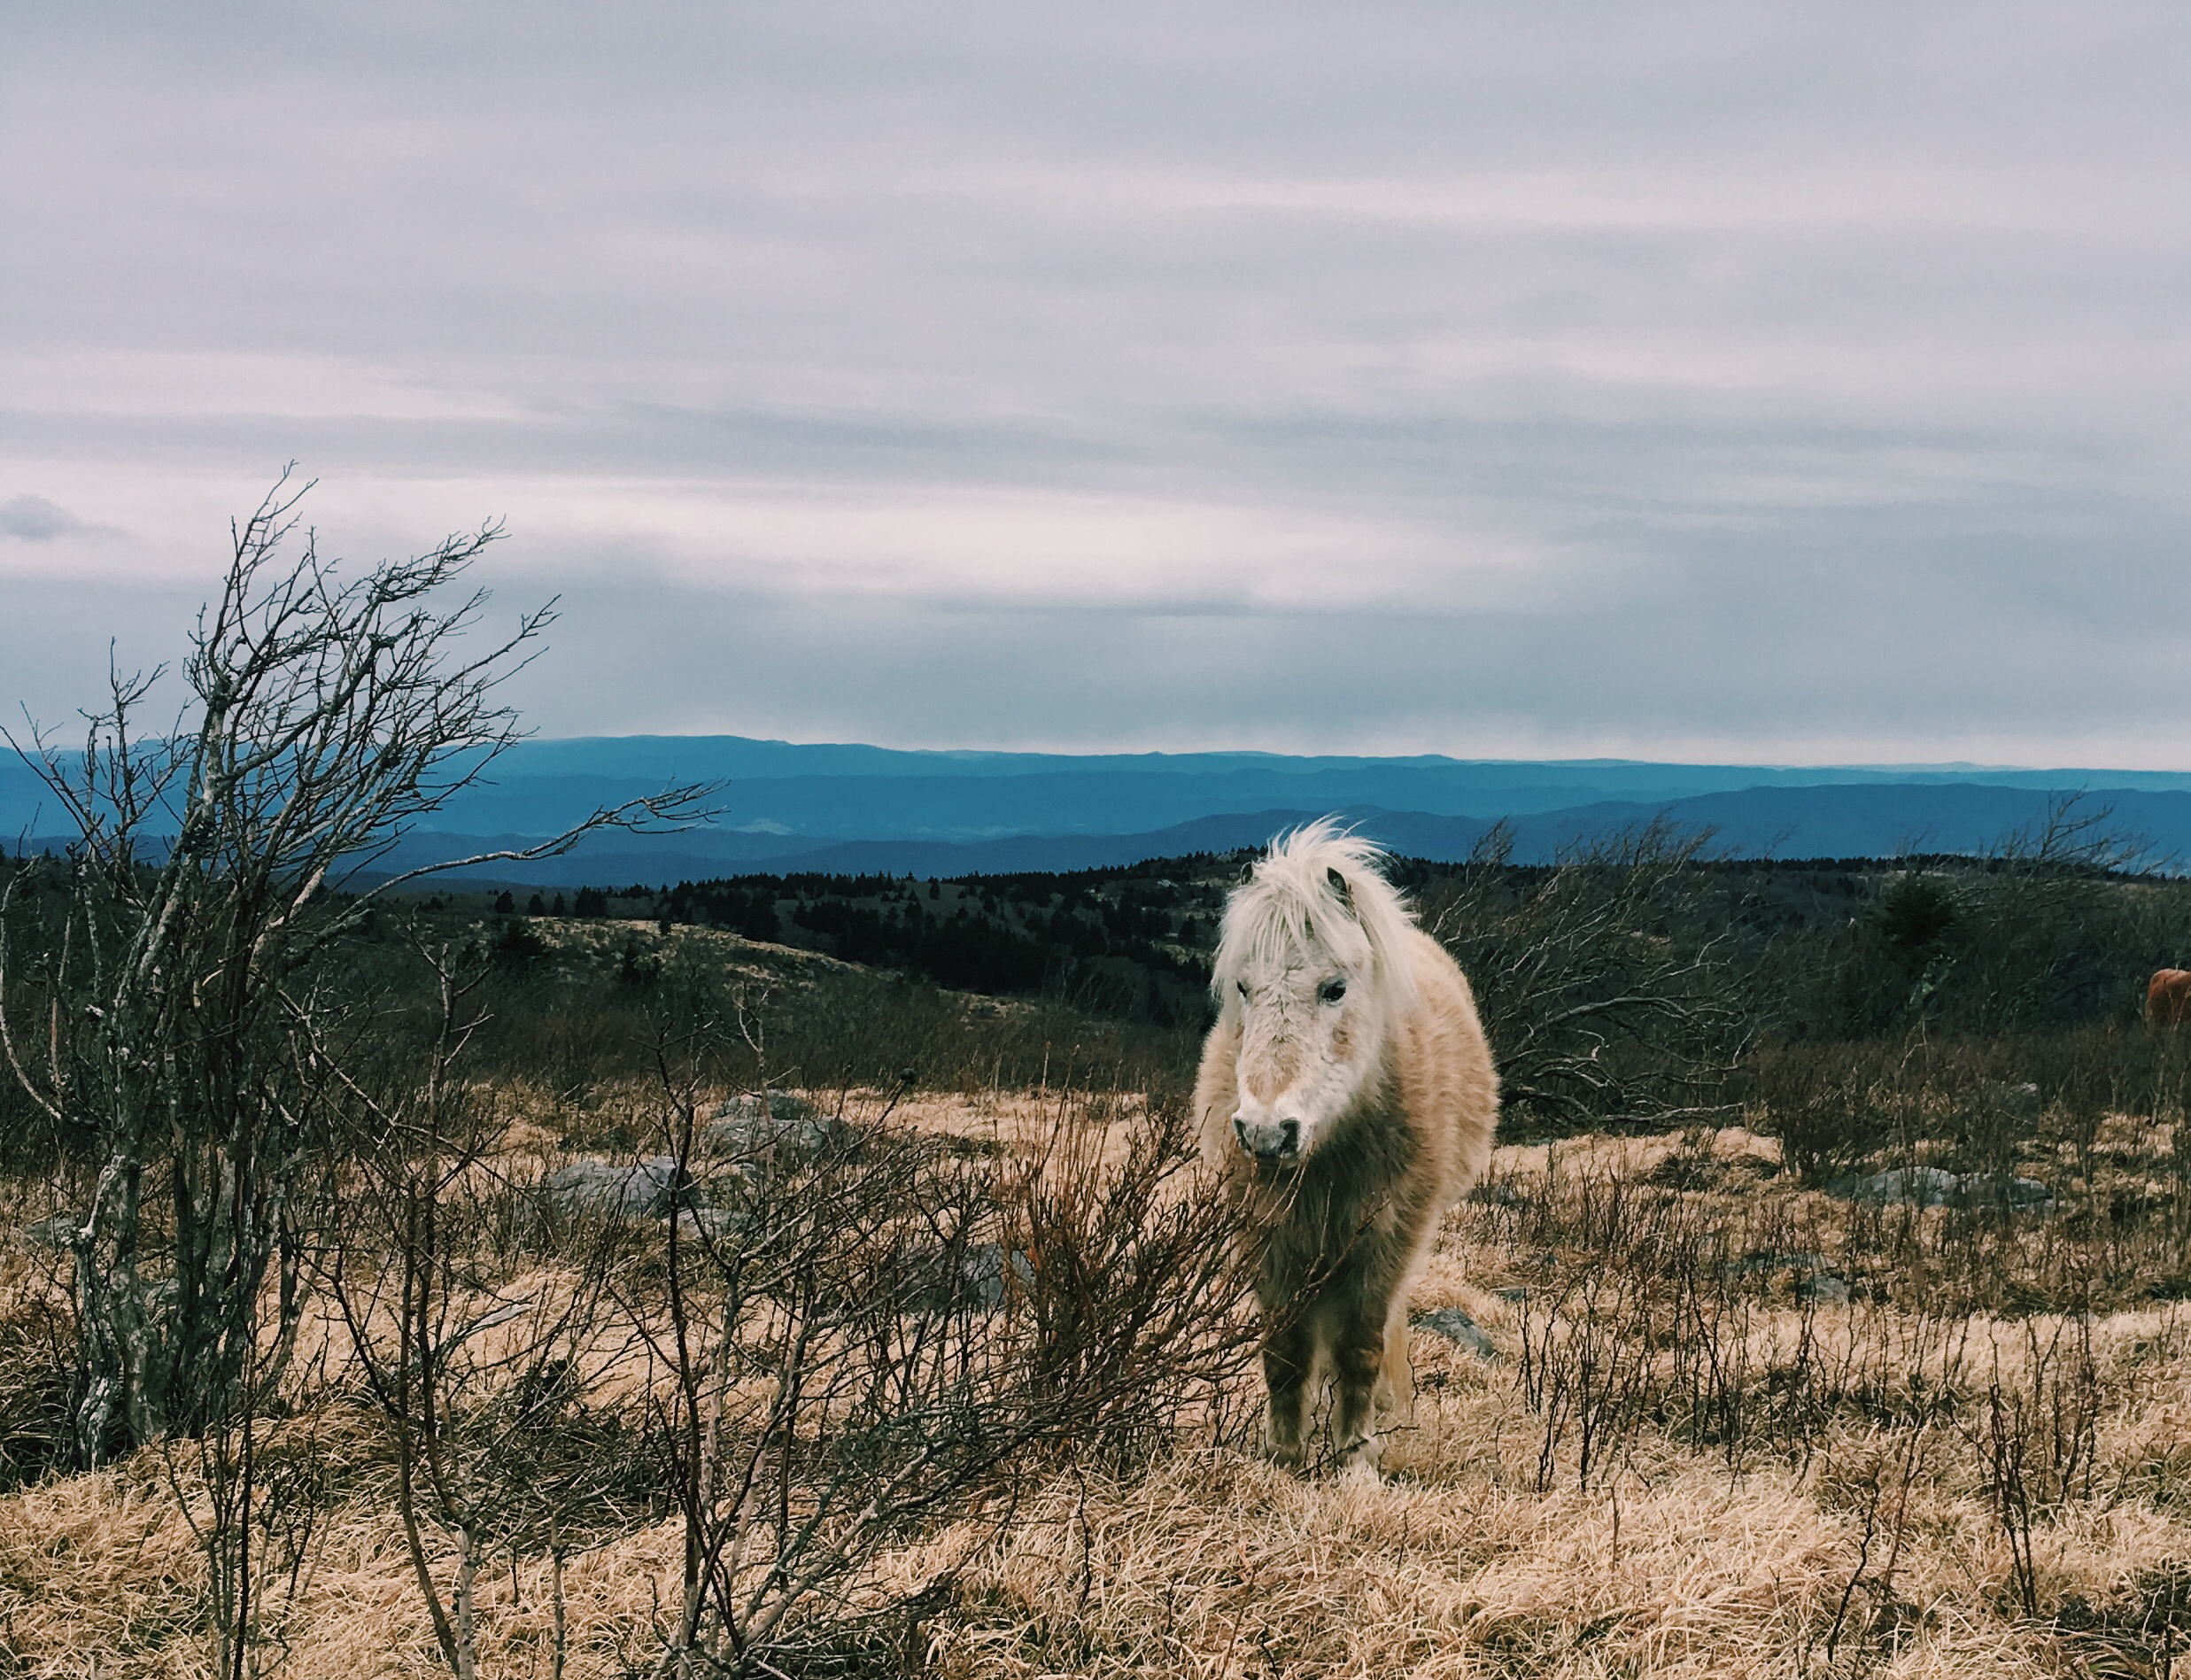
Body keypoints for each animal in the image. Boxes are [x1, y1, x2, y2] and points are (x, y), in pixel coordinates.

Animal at [1194, 821, 1499, 1478]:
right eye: (1243, 987)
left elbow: (1360, 1344)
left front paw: (1356, 1458)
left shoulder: (1385, 1239)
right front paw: (1283, 1456)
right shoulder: (1271, 1241)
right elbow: (1284, 1351)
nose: (1265, 1132)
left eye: (1334, 988)